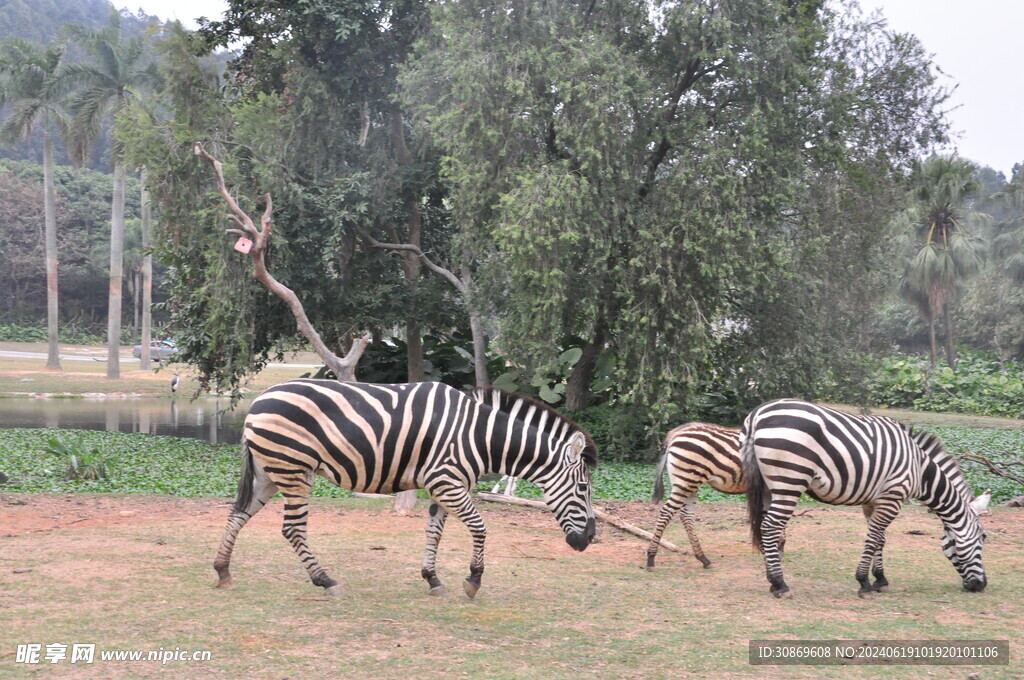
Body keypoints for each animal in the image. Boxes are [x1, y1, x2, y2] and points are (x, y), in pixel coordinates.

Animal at [216, 378, 598, 598]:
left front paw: (432, 579)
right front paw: (473, 580)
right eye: (583, 488)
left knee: (238, 515)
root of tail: (259, 398)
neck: (480, 436)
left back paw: (222, 571)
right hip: (294, 469)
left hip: (269, 470)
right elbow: (479, 527)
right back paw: (326, 580)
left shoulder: (444, 485)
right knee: (293, 529)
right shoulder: (447, 481)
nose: (589, 540)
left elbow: (434, 532)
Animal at [643, 421, 741, 569]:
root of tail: (676, 433)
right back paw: (651, 557)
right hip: (687, 480)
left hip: (688, 482)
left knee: (686, 514)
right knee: (667, 511)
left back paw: (703, 558)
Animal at [741, 401, 987, 598]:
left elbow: (880, 538)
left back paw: (772, 580)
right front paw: (864, 582)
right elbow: (873, 537)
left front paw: (880, 579)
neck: (919, 469)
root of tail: (757, 414)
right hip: (790, 479)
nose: (981, 585)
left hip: (768, 485)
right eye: (983, 537)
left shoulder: (873, 501)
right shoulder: (893, 497)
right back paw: (780, 584)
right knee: (771, 526)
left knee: (764, 526)